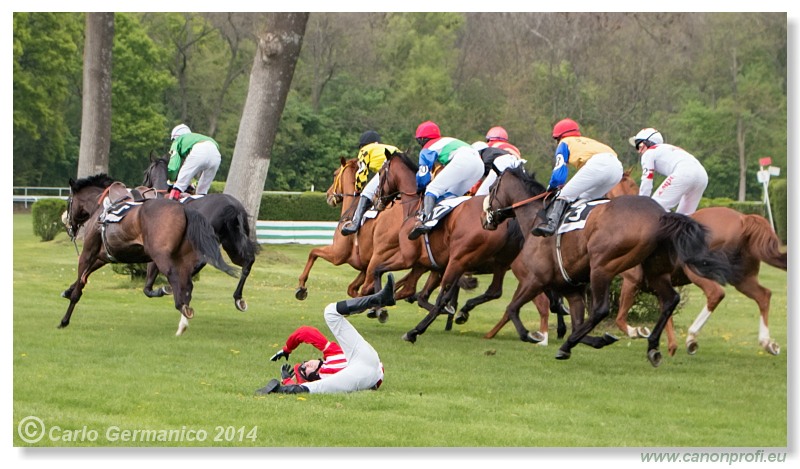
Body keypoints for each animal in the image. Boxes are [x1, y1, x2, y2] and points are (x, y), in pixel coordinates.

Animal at [62, 174, 239, 334]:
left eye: (68, 201)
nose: (67, 222)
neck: (101, 207)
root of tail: (185, 209)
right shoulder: (105, 255)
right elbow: (83, 277)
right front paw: (68, 290)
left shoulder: (88, 253)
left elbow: (80, 284)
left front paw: (64, 320)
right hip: (181, 257)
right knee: (187, 284)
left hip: (163, 257)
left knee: (177, 281)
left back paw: (180, 309)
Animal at [142, 156, 258, 310]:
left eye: (146, 171)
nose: (143, 185)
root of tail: (233, 207)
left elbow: (147, 288)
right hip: (232, 245)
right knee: (247, 262)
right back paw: (238, 298)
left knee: (202, 261)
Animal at [372, 152, 560, 342]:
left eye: (380, 173)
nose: (376, 199)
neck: (415, 208)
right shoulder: (429, 265)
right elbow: (414, 292)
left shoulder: (408, 258)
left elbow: (378, 271)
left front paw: (379, 309)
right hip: (498, 263)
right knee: (495, 291)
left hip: (461, 260)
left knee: (443, 298)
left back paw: (415, 331)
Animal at [482, 165, 732, 366]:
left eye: (492, 187)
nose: (486, 219)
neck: (536, 217)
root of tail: (660, 215)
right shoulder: (572, 291)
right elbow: (577, 324)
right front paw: (599, 339)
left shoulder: (535, 279)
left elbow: (512, 308)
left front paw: (531, 335)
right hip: (655, 271)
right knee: (670, 299)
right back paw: (653, 346)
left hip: (602, 266)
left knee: (602, 309)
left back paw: (567, 346)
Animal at [608, 172, 784, 354]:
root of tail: (743, 218)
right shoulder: (658, 286)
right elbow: (667, 316)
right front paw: (669, 348)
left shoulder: (631, 281)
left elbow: (620, 319)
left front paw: (638, 331)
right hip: (742, 278)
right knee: (763, 295)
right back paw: (767, 343)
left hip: (696, 269)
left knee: (716, 294)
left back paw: (692, 337)